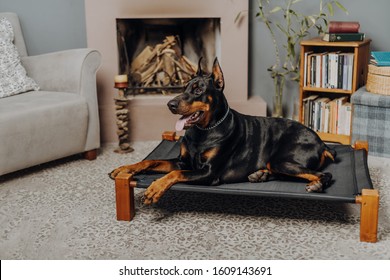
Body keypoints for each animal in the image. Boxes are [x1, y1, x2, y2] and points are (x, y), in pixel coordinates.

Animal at [109, 58, 336, 205]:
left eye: (198, 90)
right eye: (184, 87)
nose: (170, 104)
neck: (204, 131)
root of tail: (322, 143)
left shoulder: (209, 173)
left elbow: (175, 173)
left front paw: (155, 188)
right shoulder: (183, 161)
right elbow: (151, 161)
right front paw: (124, 169)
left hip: (283, 160)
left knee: (324, 174)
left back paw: (316, 185)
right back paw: (259, 174)